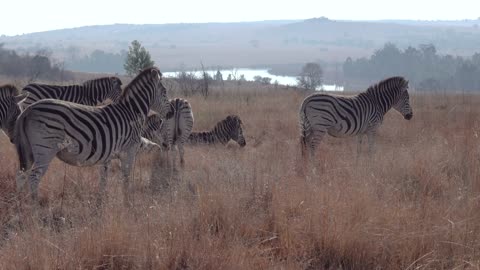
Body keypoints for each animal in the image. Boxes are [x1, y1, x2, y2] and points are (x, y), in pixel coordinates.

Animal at [14, 66, 172, 204]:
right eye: (164, 92)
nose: (171, 114)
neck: (131, 112)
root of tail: (29, 109)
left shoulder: (107, 156)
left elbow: (103, 180)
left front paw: (100, 204)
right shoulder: (129, 151)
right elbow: (126, 179)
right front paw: (128, 204)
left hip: (29, 149)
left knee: (21, 176)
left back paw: (20, 205)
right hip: (45, 149)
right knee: (33, 178)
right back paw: (35, 209)